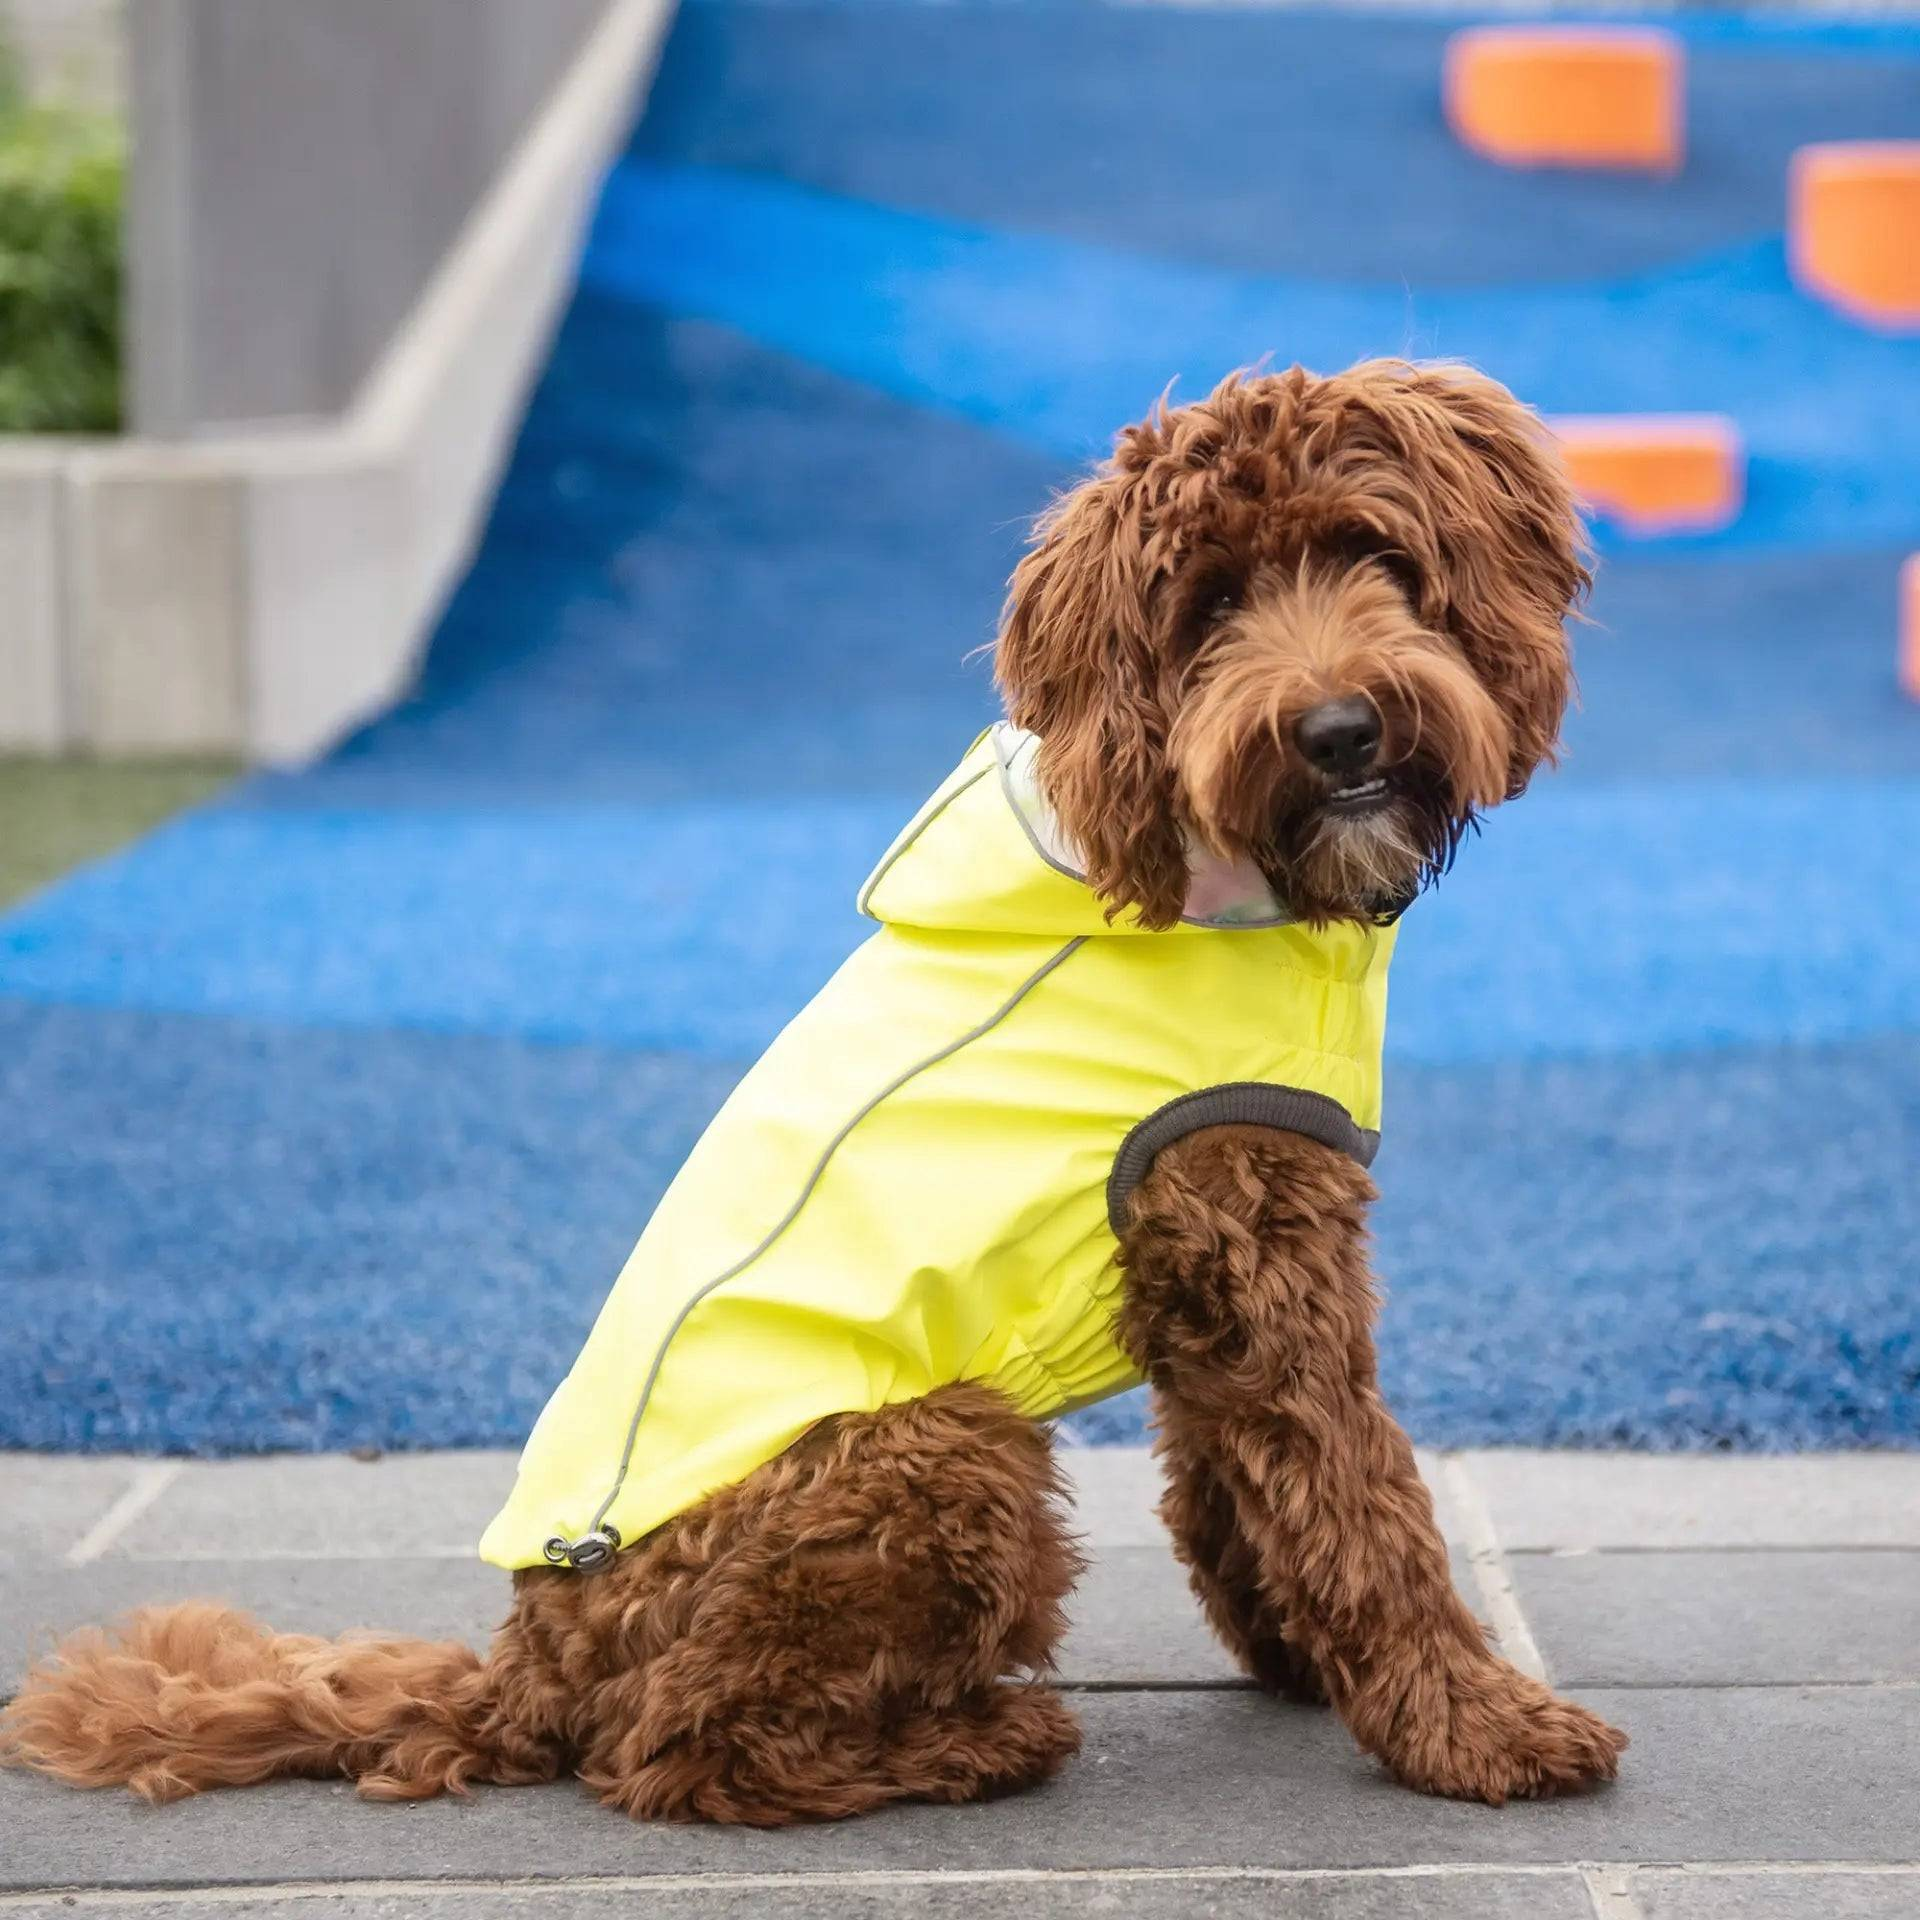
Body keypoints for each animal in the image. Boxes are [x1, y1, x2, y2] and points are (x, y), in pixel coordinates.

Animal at [3, 362, 1620, 1827]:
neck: (1206, 877)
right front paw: (1478, 1729)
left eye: (1376, 555)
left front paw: (1298, 1663)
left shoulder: (1208, 1272)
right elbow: (1364, 1505)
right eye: (1208, 608)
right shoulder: (1261, 1254)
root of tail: (531, 1662)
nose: (1340, 730)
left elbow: (1235, 1488)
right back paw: (976, 1742)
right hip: (938, 1450)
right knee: (676, 1753)